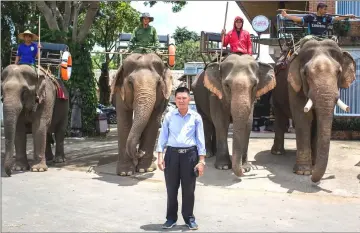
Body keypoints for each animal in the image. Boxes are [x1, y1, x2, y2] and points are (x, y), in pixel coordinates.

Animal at [270, 38, 358, 182]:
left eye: (339, 72)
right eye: (306, 74)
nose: (314, 179)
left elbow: (316, 121)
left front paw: (313, 165)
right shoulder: (293, 85)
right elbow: (303, 118)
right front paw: (304, 172)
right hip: (276, 94)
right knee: (280, 118)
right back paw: (277, 153)